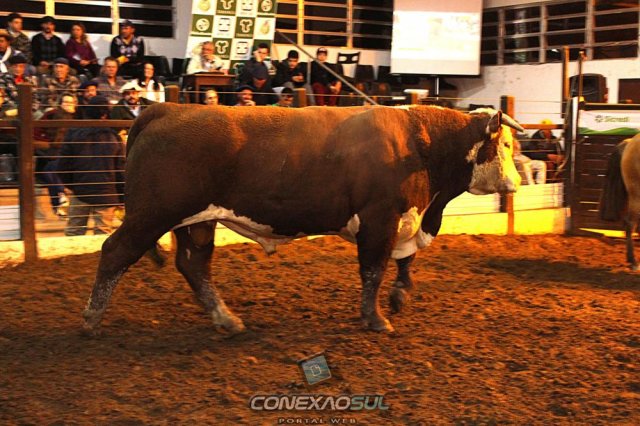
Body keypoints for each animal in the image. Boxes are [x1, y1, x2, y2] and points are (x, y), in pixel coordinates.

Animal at [82, 104, 522, 335]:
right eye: (503, 144)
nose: (516, 183)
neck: (420, 143)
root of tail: (167, 107)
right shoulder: (379, 219)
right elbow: (374, 270)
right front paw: (375, 318)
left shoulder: (404, 220)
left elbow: (404, 260)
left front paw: (399, 296)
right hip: (153, 213)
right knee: (115, 251)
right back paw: (91, 318)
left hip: (198, 222)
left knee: (193, 265)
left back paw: (226, 318)